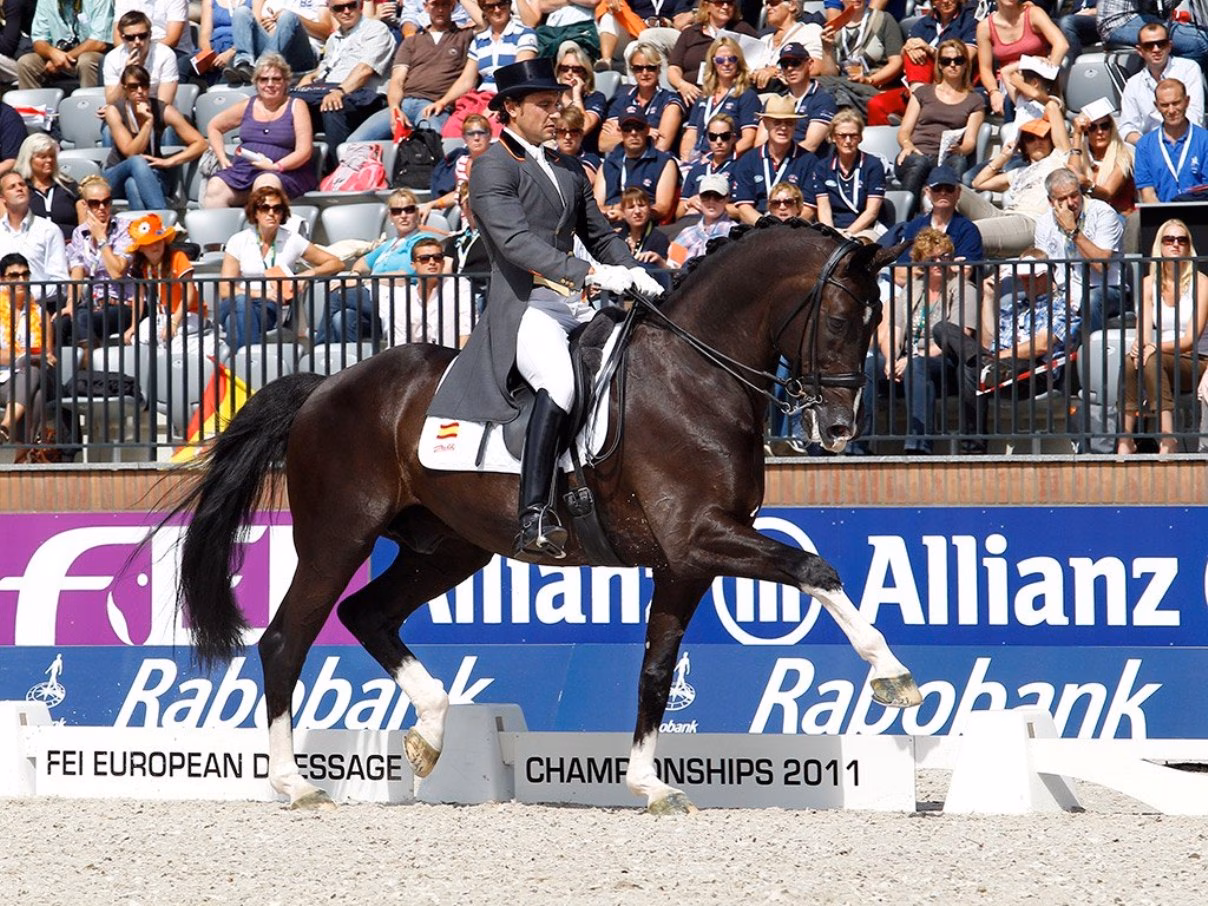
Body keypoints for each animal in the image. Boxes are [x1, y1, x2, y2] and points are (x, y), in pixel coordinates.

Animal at [165, 220, 922, 814]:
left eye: (877, 322)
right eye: (841, 319)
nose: (838, 428)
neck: (694, 376)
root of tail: (325, 385)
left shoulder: (685, 561)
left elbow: (656, 668)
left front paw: (649, 785)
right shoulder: (700, 537)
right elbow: (813, 567)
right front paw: (891, 675)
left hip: (448, 548)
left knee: (367, 614)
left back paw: (429, 734)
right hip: (337, 535)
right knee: (287, 638)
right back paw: (295, 784)